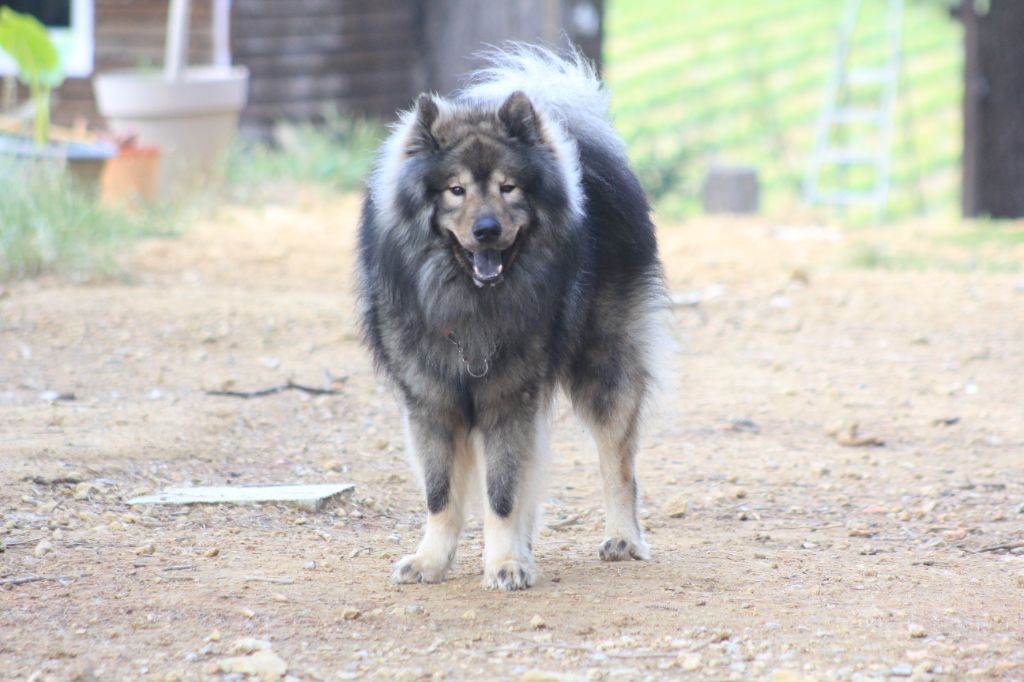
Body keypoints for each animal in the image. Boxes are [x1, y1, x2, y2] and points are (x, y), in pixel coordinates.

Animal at [356, 45, 667, 585]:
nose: (486, 230)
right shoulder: (432, 402)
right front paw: (432, 560)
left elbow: (502, 493)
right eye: (455, 190)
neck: (470, 304)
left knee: (618, 463)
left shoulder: (508, 399)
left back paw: (623, 538)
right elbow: (442, 493)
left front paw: (504, 563)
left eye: (508, 187)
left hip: (605, 367)